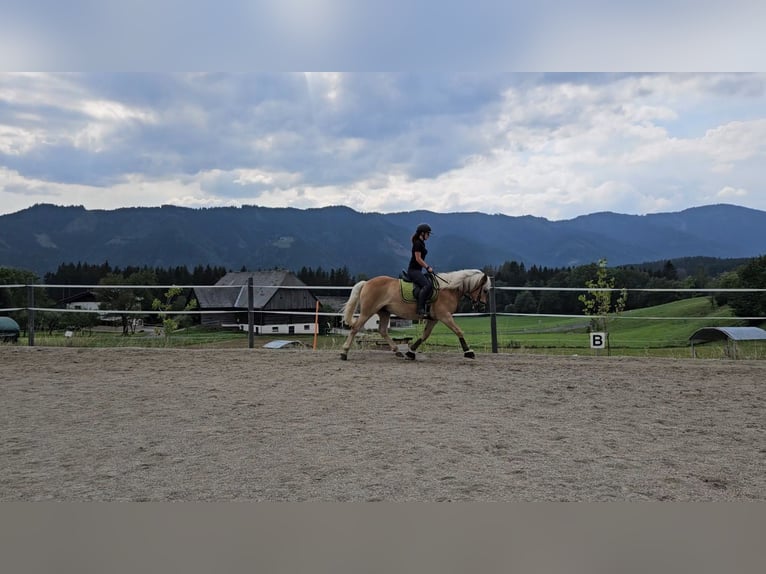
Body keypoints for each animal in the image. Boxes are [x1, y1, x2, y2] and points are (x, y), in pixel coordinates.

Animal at [340, 268, 492, 360]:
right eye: (485, 290)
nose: (483, 306)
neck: (448, 289)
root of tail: (366, 283)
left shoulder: (434, 318)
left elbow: (425, 335)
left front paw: (410, 351)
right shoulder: (445, 316)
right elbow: (458, 331)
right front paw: (469, 352)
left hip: (384, 312)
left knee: (382, 330)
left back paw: (397, 351)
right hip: (367, 311)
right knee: (355, 328)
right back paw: (344, 352)